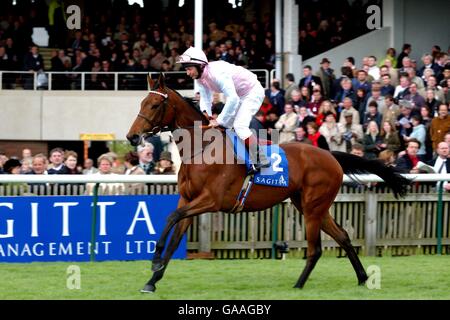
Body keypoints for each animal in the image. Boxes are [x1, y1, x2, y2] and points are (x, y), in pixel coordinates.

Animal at [126, 74, 412, 294]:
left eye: (154, 105)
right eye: (142, 102)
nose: (132, 137)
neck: (202, 149)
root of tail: (330, 155)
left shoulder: (211, 200)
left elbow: (170, 218)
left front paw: (154, 260)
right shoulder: (188, 200)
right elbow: (175, 234)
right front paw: (152, 280)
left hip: (312, 207)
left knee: (315, 249)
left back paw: (298, 285)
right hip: (311, 205)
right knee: (342, 236)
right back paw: (362, 278)